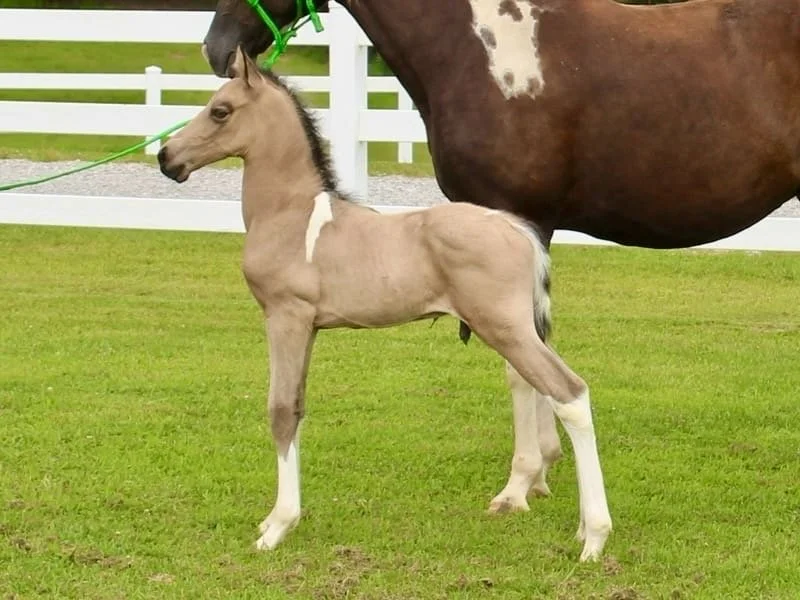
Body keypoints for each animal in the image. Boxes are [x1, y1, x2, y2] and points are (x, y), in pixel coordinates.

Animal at [157, 46, 613, 561]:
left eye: (221, 110)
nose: (167, 157)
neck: (292, 216)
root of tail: (518, 230)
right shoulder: (310, 326)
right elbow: (297, 406)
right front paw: (278, 519)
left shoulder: (285, 316)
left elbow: (280, 410)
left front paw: (277, 526)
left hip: (506, 328)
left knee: (569, 392)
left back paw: (594, 536)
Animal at [201, 0, 800, 513]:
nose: (217, 47)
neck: (478, 48)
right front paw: (543, 471)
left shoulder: (516, 217)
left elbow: (520, 366)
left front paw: (519, 484)